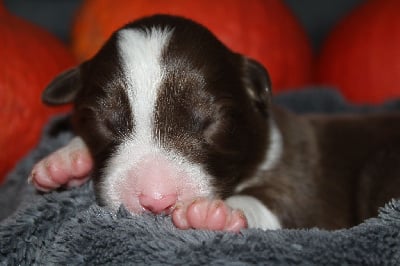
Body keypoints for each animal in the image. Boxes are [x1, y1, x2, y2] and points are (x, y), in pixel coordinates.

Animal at [29, 14, 400, 232]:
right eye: (106, 122)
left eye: (207, 122)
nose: (156, 200)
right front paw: (65, 162)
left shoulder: (303, 189)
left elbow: (275, 204)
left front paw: (213, 212)